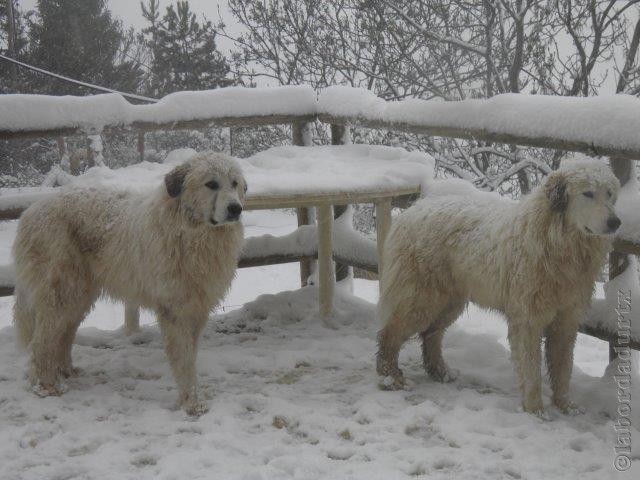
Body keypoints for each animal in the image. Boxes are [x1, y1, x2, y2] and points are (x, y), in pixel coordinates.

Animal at [14, 152, 248, 414]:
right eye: (211, 184)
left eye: (235, 184)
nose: (236, 209)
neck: (190, 232)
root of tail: (30, 211)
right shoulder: (175, 310)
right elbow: (184, 360)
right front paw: (191, 404)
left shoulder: (197, 310)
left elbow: (190, 354)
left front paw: (190, 398)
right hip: (60, 293)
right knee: (40, 344)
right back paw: (45, 387)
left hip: (77, 296)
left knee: (63, 336)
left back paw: (65, 372)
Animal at [376, 158, 620, 416]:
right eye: (588, 193)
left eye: (609, 193)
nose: (615, 222)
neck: (559, 242)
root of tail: (411, 211)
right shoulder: (527, 319)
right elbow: (531, 368)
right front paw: (534, 409)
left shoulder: (566, 320)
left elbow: (563, 368)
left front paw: (565, 406)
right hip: (420, 298)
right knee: (390, 334)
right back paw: (390, 377)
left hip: (448, 301)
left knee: (431, 334)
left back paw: (440, 371)